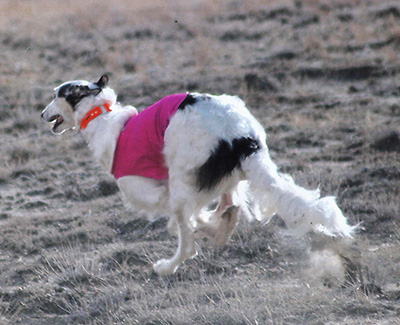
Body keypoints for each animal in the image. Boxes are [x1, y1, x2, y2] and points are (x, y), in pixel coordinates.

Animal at [41, 75, 356, 274]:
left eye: (56, 95)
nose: (42, 114)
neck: (101, 115)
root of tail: (241, 137)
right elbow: (203, 216)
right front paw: (215, 224)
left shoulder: (152, 192)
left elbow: (182, 222)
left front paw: (200, 229)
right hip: (226, 174)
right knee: (231, 203)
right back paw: (223, 223)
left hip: (183, 175)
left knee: (189, 240)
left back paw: (168, 266)